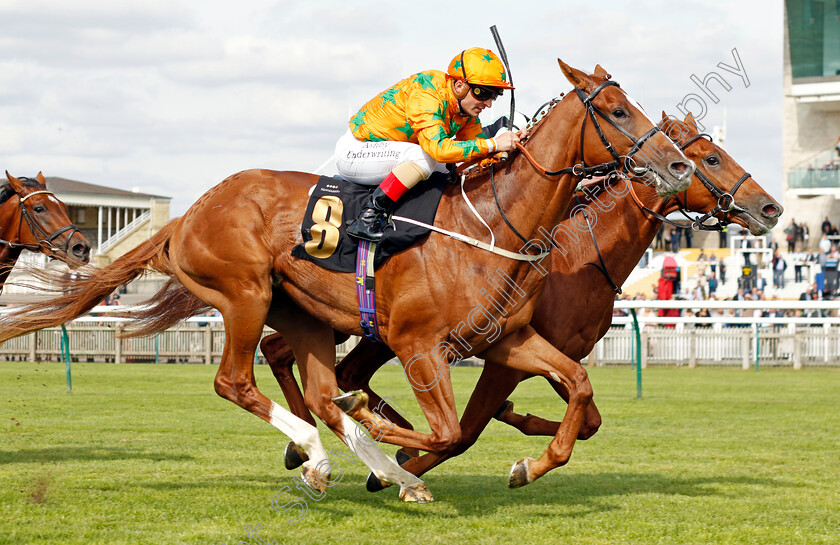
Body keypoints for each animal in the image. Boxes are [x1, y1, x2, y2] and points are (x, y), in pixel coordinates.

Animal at [0, 60, 692, 502]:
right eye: (615, 110)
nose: (678, 163)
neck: (492, 225)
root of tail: (188, 215)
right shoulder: (418, 346)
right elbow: (448, 428)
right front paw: (393, 444)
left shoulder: (505, 340)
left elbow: (576, 386)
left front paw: (528, 464)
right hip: (246, 293)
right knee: (240, 383)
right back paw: (329, 455)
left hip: (302, 313)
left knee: (321, 389)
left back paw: (358, 460)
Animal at [260, 112, 780, 486]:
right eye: (711, 159)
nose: (770, 207)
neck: (582, 255)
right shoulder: (500, 355)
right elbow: (466, 431)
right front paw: (402, 468)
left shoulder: (555, 349)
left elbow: (586, 417)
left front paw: (509, 428)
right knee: (314, 363)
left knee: (290, 354)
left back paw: (314, 440)